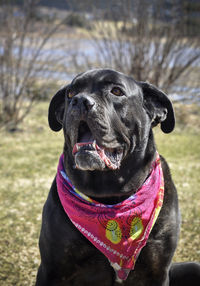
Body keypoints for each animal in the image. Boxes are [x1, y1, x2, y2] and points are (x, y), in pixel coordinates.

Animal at [36, 68, 200, 284]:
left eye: (116, 91)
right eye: (70, 93)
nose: (79, 101)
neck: (110, 194)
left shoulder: (158, 271)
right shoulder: (51, 270)